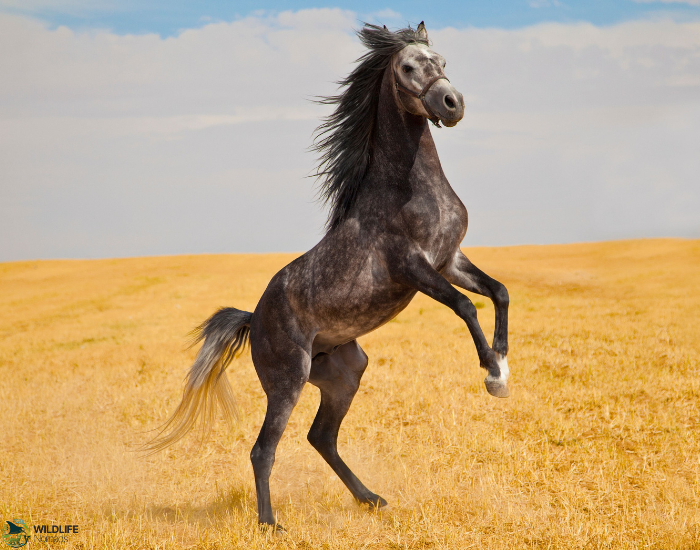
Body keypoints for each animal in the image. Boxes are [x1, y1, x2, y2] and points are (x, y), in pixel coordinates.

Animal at [146, 22, 511, 530]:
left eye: (442, 60)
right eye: (408, 67)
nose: (451, 103)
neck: (410, 188)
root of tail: (253, 319)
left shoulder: (449, 260)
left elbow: (498, 292)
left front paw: (503, 362)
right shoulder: (414, 267)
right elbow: (465, 305)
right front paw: (492, 375)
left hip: (345, 375)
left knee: (321, 438)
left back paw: (370, 498)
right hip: (288, 382)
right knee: (263, 449)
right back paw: (270, 523)